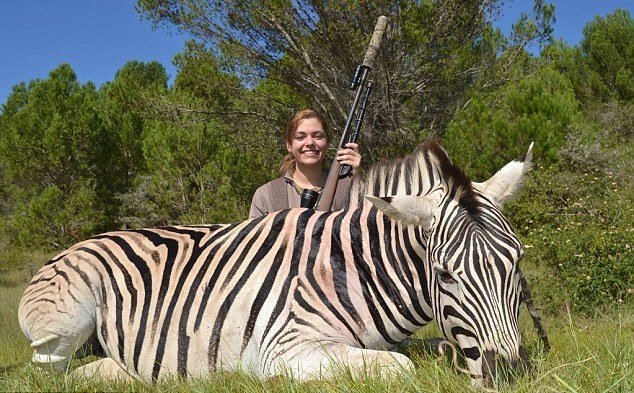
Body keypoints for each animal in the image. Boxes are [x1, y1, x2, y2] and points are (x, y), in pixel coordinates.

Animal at [17, 138, 532, 386]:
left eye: (517, 262)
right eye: (445, 275)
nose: (512, 374)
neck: (355, 270)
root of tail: (70, 248)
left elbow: (430, 351)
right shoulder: (286, 346)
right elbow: (402, 368)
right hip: (63, 324)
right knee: (50, 370)